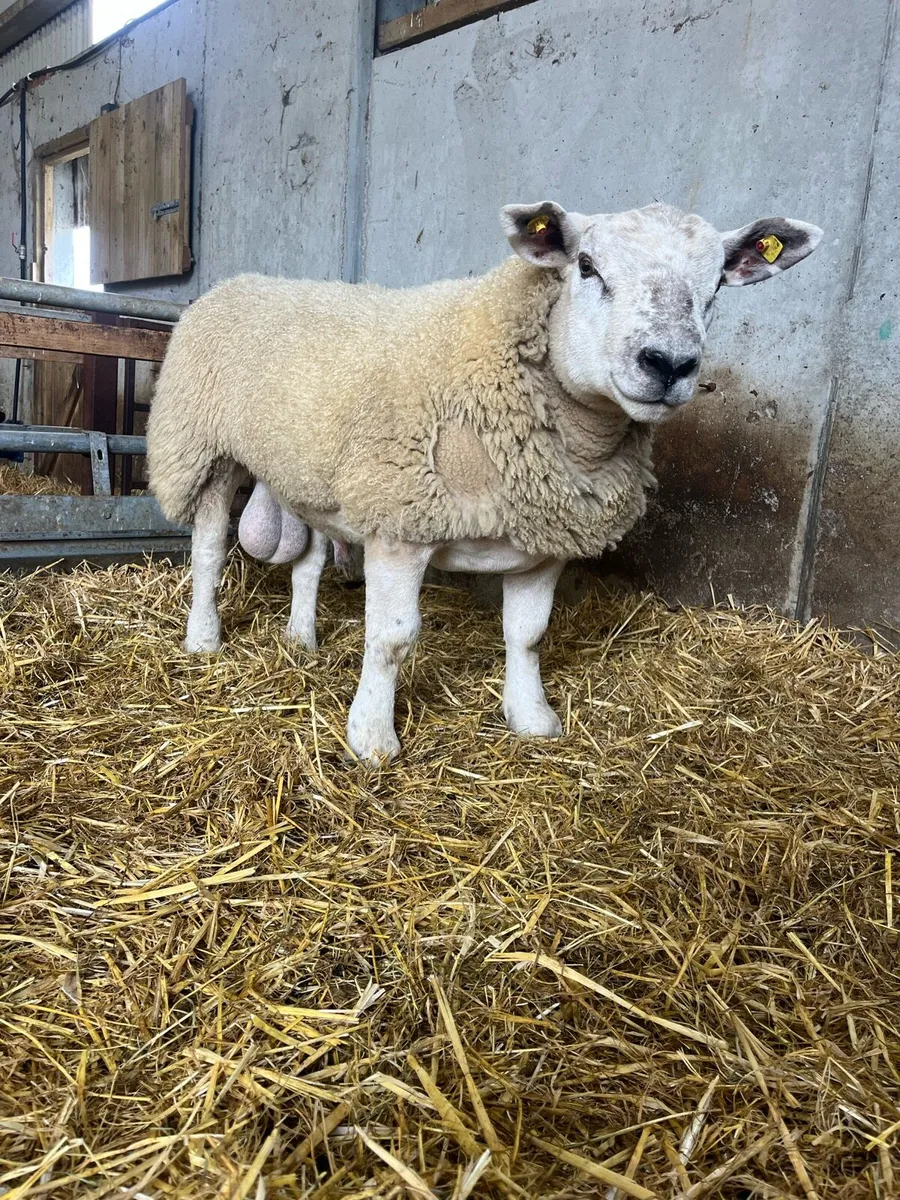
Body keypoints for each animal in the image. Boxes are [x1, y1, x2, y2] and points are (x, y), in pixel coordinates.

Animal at [147, 201, 822, 763]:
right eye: (586, 266)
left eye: (716, 285)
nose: (670, 363)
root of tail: (236, 282)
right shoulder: (403, 519)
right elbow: (392, 639)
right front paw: (372, 740)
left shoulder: (547, 535)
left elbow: (528, 635)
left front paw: (532, 719)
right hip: (203, 446)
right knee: (208, 551)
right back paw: (204, 640)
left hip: (308, 474)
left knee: (309, 560)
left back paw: (302, 639)